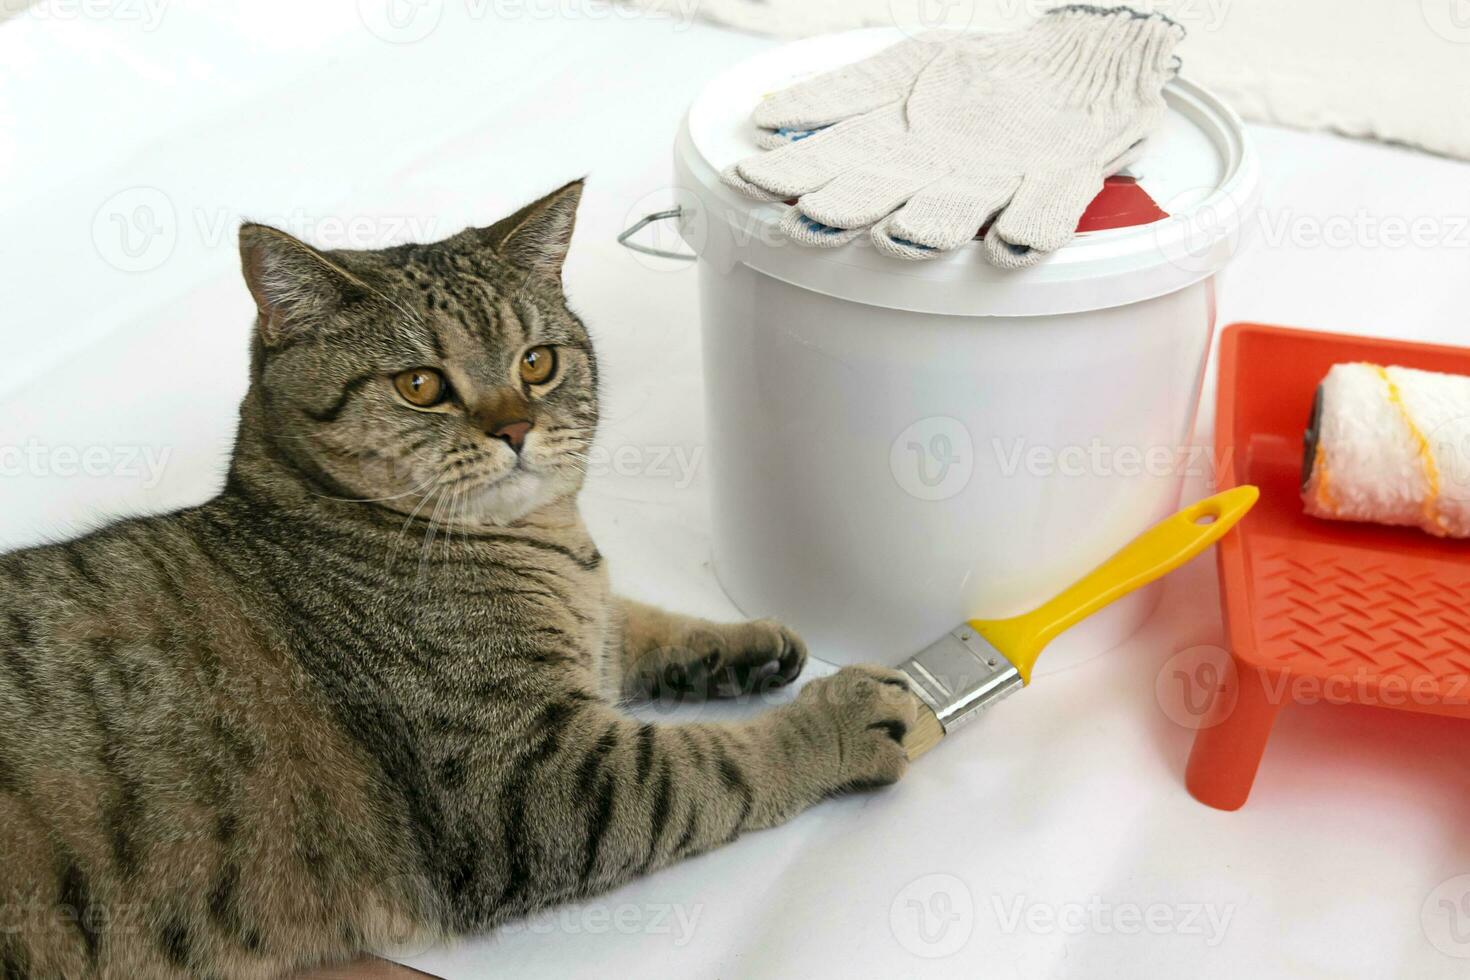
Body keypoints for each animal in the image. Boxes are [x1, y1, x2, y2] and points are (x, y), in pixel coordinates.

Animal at [0, 182, 911, 980]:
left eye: (536, 363)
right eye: (420, 385)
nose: (515, 427)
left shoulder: (586, 654)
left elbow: (631, 624)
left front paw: (741, 643)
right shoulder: (537, 783)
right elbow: (712, 767)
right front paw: (843, 716)